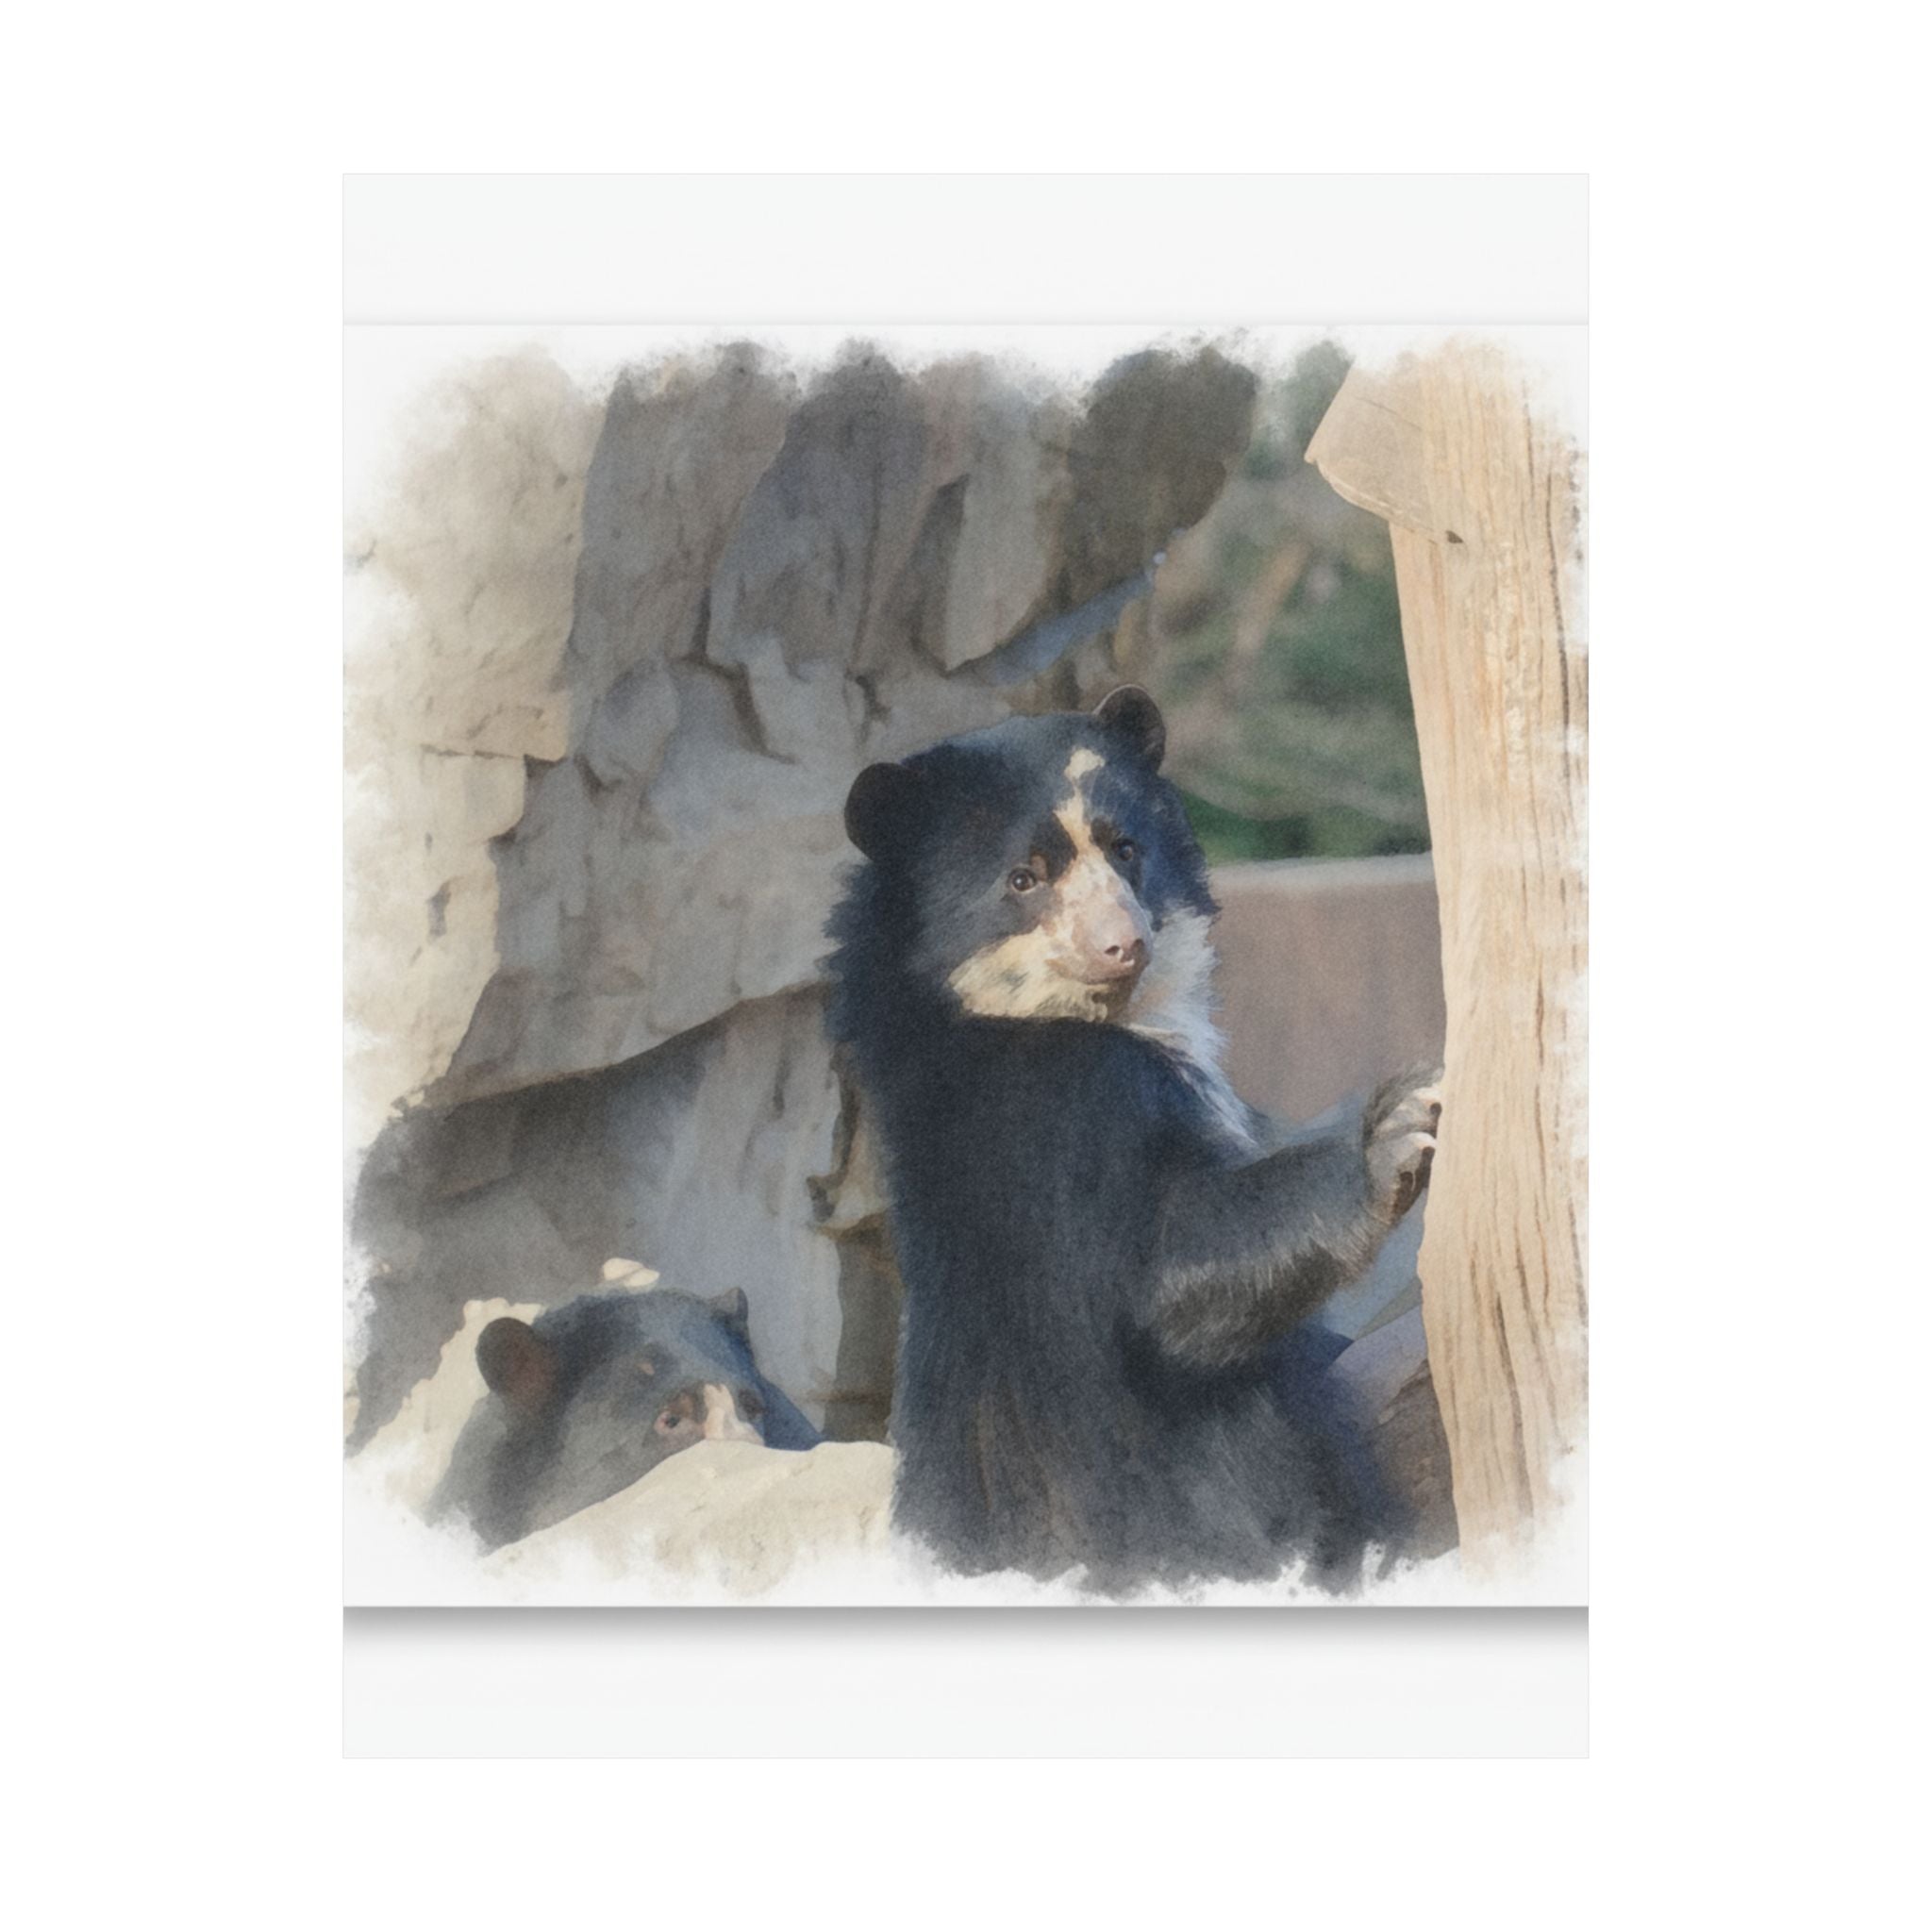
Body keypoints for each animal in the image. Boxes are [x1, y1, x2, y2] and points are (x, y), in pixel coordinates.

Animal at [825, 685, 1440, 1591]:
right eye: (1024, 877)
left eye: (1126, 849)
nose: (1123, 945)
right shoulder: (1066, 1119)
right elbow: (1171, 1271)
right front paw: (1400, 1125)